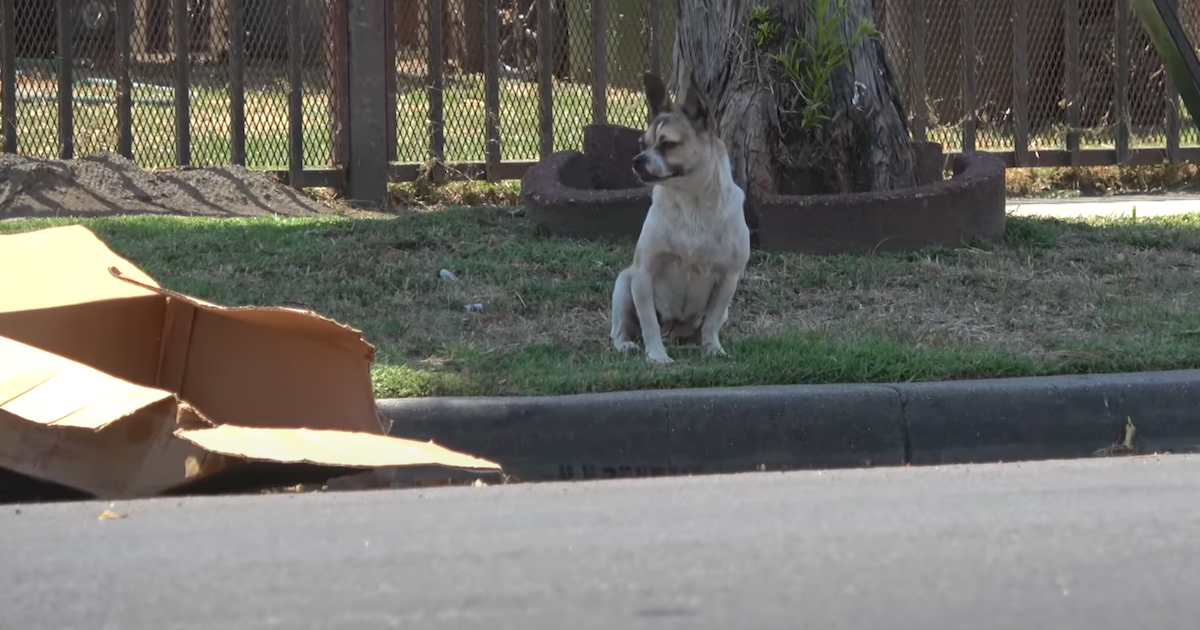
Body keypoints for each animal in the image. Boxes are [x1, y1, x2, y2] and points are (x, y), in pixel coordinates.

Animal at [609, 71, 748, 362]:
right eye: (642, 144)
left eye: (668, 145)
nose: (637, 160)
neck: (690, 202)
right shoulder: (643, 276)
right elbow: (649, 321)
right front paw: (657, 357)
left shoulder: (728, 280)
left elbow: (711, 322)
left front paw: (713, 349)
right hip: (625, 285)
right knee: (620, 330)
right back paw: (627, 344)